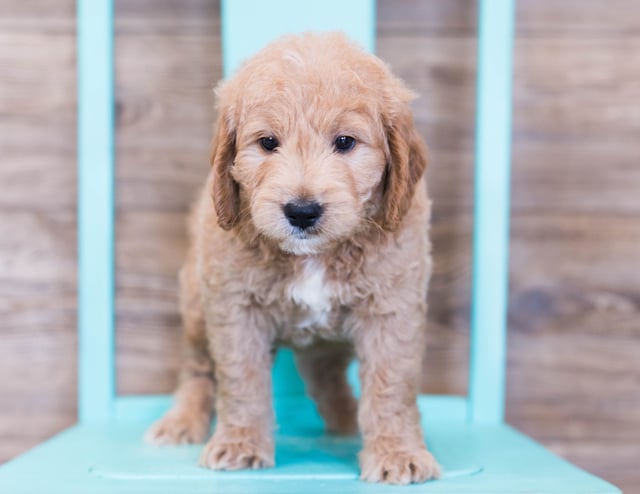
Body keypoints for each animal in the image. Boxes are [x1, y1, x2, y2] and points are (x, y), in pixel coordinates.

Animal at [148, 32, 440, 484]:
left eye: (345, 142)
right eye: (268, 143)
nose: (302, 211)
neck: (314, 256)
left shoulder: (393, 307)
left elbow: (391, 384)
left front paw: (396, 452)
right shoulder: (235, 308)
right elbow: (241, 379)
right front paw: (241, 443)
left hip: (326, 343)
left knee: (327, 378)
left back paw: (344, 422)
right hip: (197, 306)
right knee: (198, 369)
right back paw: (181, 420)